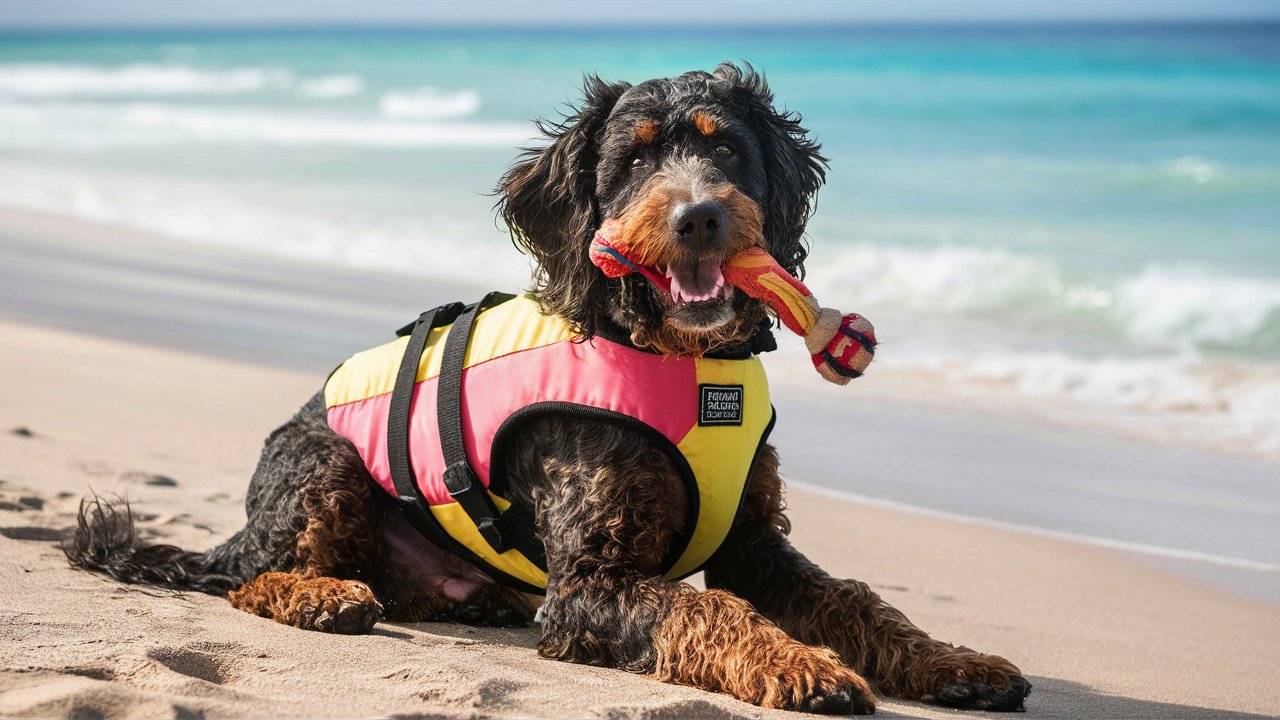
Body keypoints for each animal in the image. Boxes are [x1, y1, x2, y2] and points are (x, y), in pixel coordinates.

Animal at [67, 63, 1029, 712]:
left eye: (725, 146)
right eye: (634, 163)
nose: (699, 216)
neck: (677, 357)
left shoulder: (756, 544)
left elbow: (859, 603)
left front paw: (954, 662)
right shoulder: (592, 581)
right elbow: (709, 612)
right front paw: (802, 664)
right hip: (320, 462)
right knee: (249, 577)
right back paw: (320, 595)